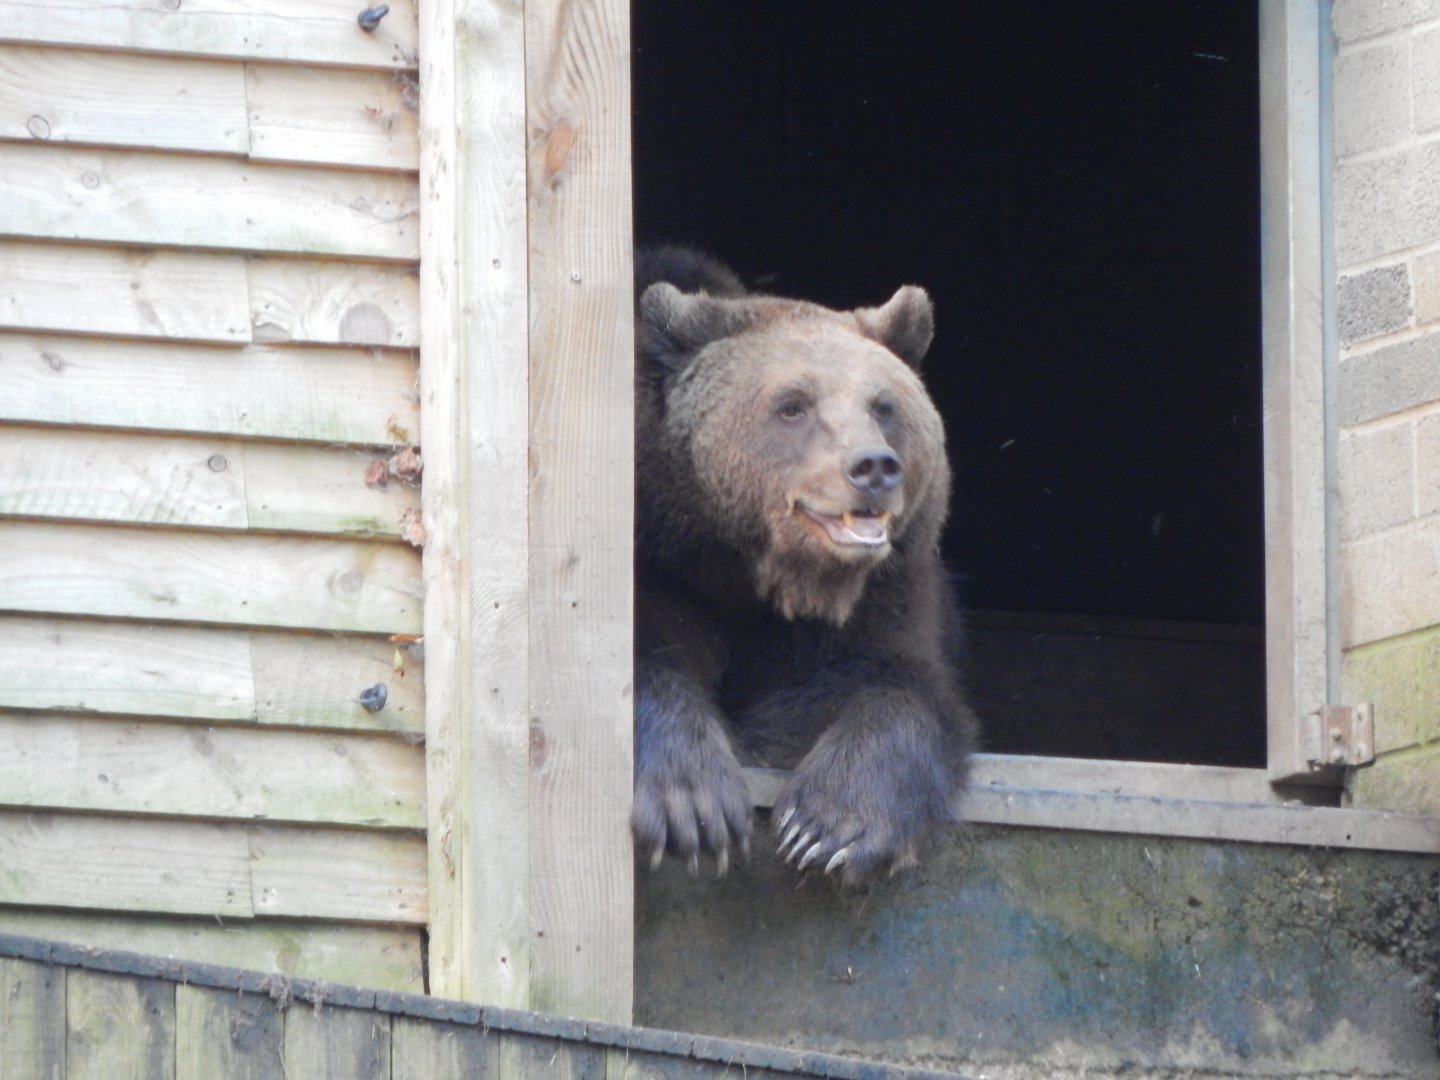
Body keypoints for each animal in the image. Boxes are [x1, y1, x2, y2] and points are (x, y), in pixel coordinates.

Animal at [631, 246, 978, 887]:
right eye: (793, 404)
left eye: (883, 405)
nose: (873, 466)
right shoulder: (664, 571)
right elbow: (649, 664)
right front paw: (694, 808)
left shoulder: (879, 600)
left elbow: (900, 689)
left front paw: (829, 827)